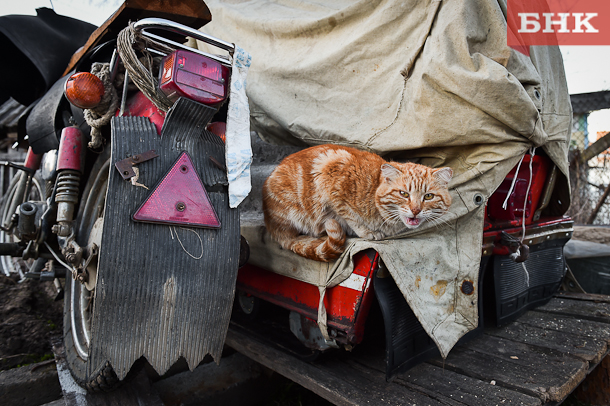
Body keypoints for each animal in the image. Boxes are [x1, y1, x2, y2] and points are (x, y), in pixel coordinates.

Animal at [262, 144, 452, 262]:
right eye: (403, 194)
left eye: (428, 196)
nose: (415, 210)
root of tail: (271, 225)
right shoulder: (331, 177)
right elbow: (350, 216)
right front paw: (367, 232)